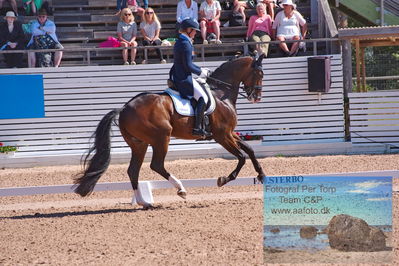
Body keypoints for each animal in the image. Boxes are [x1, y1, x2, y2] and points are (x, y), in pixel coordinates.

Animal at [75, 54, 268, 208]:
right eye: (260, 74)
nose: (257, 97)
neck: (221, 93)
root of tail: (124, 109)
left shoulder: (230, 133)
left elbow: (250, 150)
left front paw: (262, 175)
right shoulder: (222, 135)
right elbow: (241, 157)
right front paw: (223, 180)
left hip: (139, 144)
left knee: (133, 170)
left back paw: (144, 203)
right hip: (161, 138)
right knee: (156, 165)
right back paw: (181, 189)